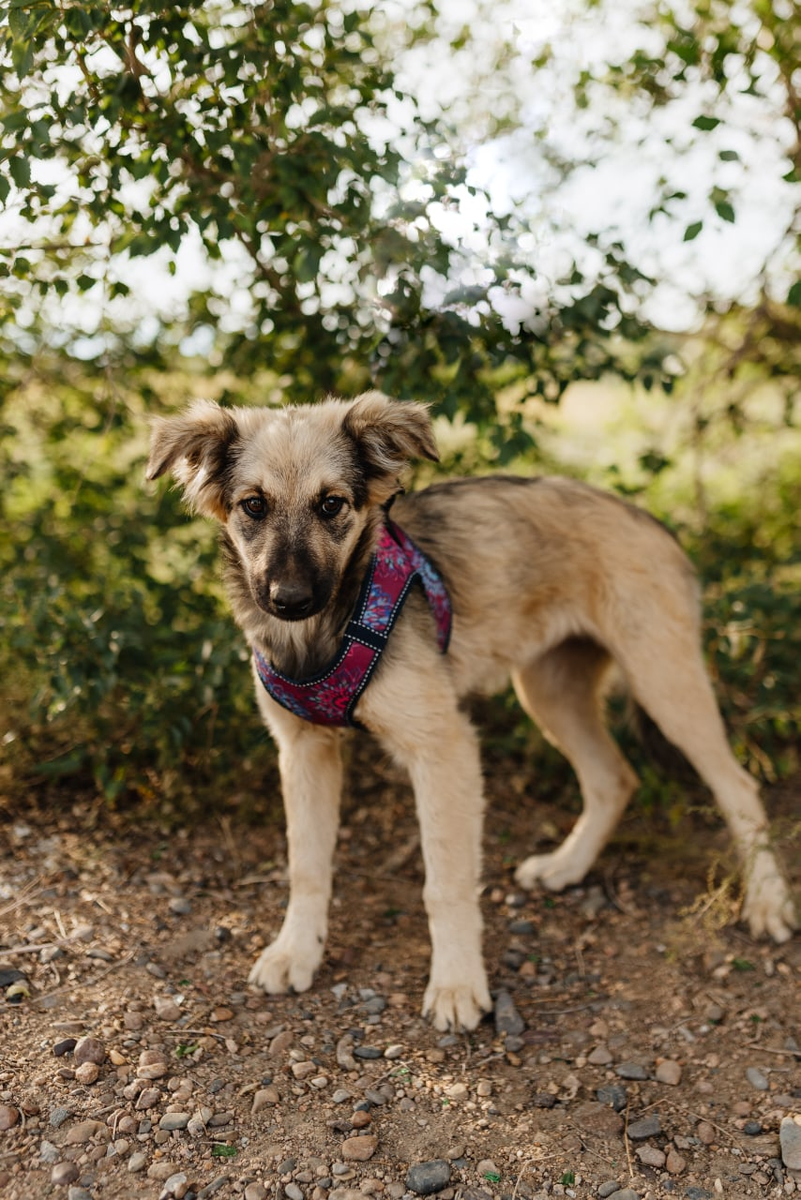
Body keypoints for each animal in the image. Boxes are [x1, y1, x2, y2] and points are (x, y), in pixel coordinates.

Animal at [148, 391, 796, 1032]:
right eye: (253, 506)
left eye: (331, 504)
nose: (289, 600)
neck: (324, 631)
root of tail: (654, 523)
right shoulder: (304, 749)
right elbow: (306, 866)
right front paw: (296, 952)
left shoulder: (444, 749)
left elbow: (446, 884)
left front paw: (457, 985)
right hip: (550, 690)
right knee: (613, 778)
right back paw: (567, 866)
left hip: (664, 680)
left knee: (737, 785)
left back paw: (768, 903)